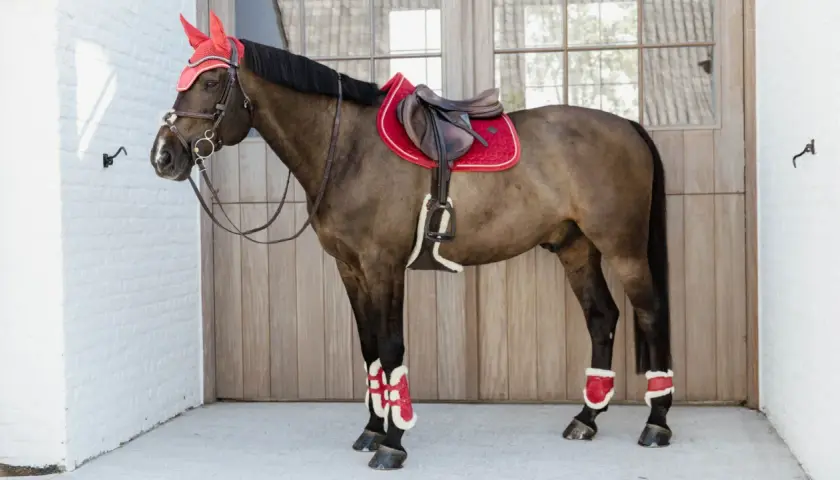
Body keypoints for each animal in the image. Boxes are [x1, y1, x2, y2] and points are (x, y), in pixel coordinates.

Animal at [150, 11, 675, 471]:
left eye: (211, 82)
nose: (164, 155)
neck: (349, 149)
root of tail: (627, 125)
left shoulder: (384, 265)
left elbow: (391, 348)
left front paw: (394, 443)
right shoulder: (350, 268)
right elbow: (368, 348)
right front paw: (372, 430)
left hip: (624, 249)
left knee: (650, 314)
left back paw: (656, 423)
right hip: (576, 248)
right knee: (602, 318)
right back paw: (586, 418)